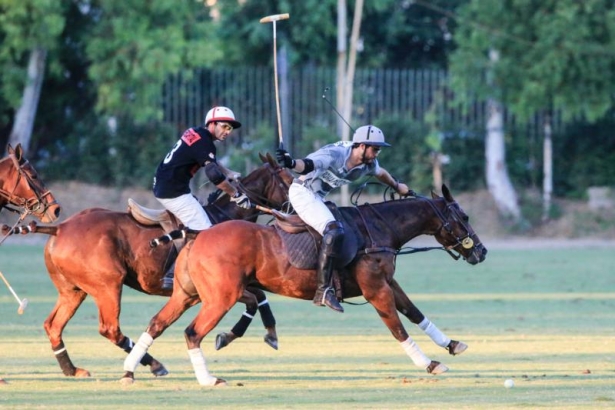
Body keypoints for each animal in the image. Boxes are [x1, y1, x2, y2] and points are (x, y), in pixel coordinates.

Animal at [1, 153, 294, 378]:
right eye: (289, 181)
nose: (292, 213)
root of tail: (59, 228)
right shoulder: (217, 288)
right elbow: (255, 297)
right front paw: (238, 335)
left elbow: (259, 296)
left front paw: (264, 334)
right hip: (108, 285)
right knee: (109, 328)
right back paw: (153, 364)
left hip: (73, 290)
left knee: (53, 325)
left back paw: (72, 370)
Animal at [122, 184, 488, 386]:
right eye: (464, 217)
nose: (481, 251)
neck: (378, 230)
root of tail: (198, 233)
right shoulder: (375, 289)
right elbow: (398, 327)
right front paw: (429, 363)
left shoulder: (388, 282)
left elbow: (415, 313)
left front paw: (452, 344)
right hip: (220, 297)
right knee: (192, 333)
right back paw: (209, 379)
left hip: (188, 294)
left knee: (156, 323)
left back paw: (129, 372)